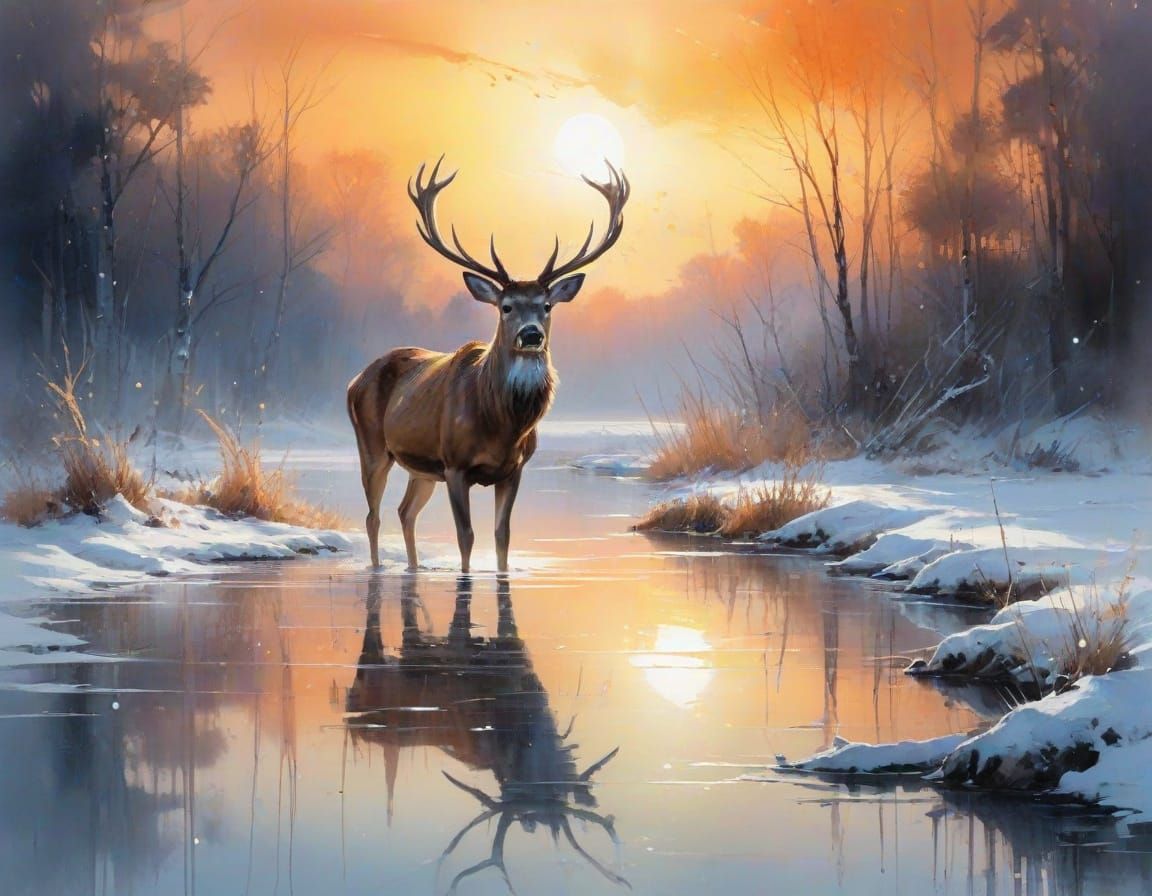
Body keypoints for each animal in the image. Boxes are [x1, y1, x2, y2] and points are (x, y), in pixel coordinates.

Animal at [347, 158, 630, 572]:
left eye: (547, 306)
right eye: (506, 306)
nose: (531, 334)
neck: (501, 425)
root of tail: (354, 379)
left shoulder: (514, 470)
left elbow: (502, 537)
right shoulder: (454, 465)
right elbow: (466, 537)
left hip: (421, 469)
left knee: (405, 512)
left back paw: (414, 567)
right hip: (372, 445)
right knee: (373, 516)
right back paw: (378, 567)